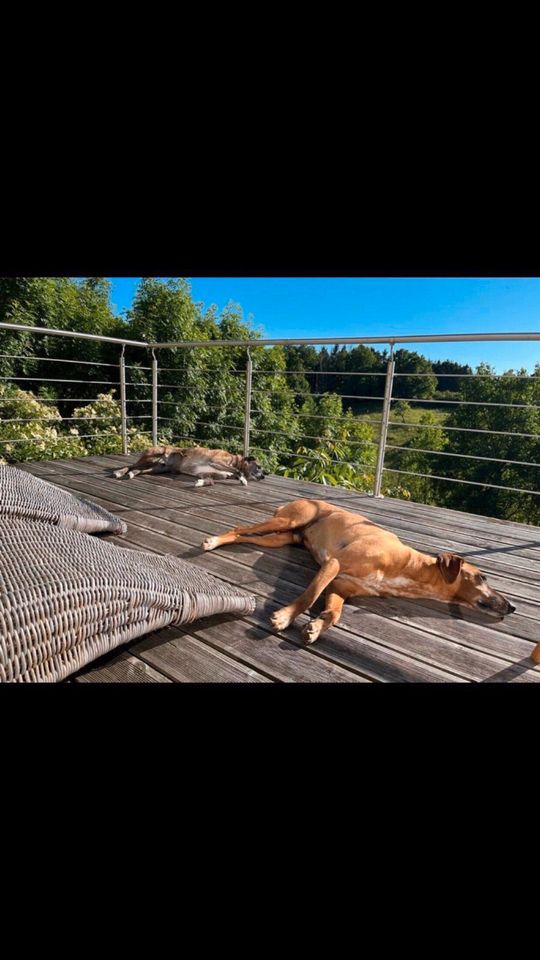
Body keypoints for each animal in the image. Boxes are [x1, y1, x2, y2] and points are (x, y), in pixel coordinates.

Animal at [112, 444, 268, 488]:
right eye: (259, 466)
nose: (264, 476)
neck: (235, 460)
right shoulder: (216, 461)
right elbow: (236, 471)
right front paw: (242, 479)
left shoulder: (208, 474)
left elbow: (209, 481)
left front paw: (199, 483)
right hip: (151, 457)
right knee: (130, 465)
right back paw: (119, 472)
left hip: (157, 468)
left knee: (138, 470)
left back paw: (132, 474)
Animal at [200, 496, 516, 644]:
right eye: (482, 577)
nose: (512, 607)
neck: (408, 568)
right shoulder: (334, 564)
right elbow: (309, 595)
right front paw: (286, 616)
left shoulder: (341, 587)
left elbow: (334, 612)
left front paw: (316, 627)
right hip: (288, 521)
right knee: (240, 527)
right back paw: (213, 540)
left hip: (281, 537)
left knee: (243, 536)